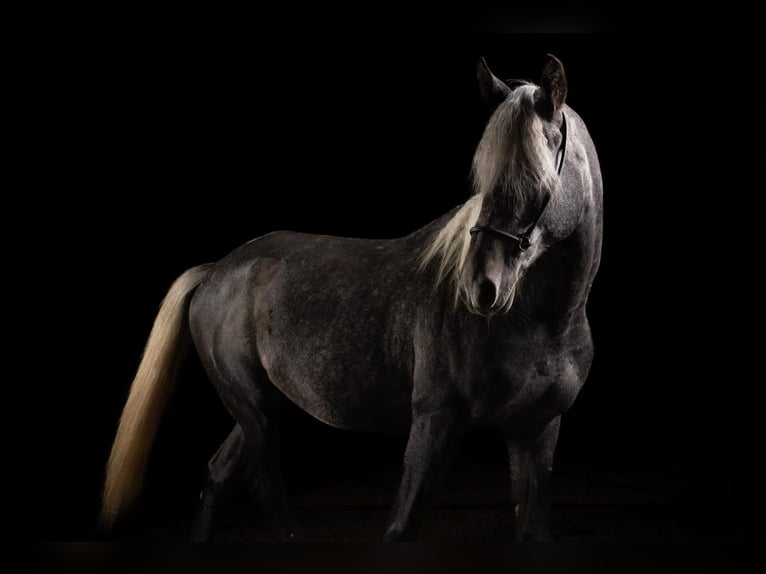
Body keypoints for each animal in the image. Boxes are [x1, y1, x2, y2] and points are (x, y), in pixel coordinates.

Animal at [101, 54, 603, 542]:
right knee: (264, 484)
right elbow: (402, 527)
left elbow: (532, 528)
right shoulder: (434, 419)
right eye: (484, 179)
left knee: (220, 473)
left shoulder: (535, 430)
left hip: (261, 404)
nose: (480, 287)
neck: (543, 323)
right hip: (253, 406)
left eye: (538, 180)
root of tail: (217, 270)